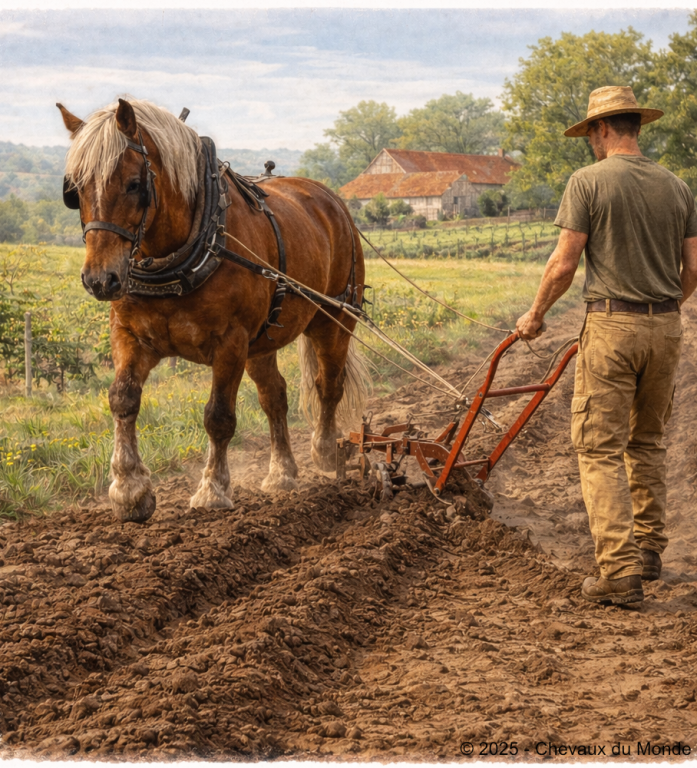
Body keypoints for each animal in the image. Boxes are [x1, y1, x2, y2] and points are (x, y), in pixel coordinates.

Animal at [57, 97, 368, 523]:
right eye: (75, 188)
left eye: (134, 184)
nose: (100, 279)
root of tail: (331, 200)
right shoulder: (130, 335)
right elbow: (122, 399)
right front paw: (129, 490)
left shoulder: (230, 342)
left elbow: (218, 416)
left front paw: (213, 490)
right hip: (264, 339)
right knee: (275, 396)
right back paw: (282, 473)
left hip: (333, 319)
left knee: (328, 385)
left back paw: (325, 452)